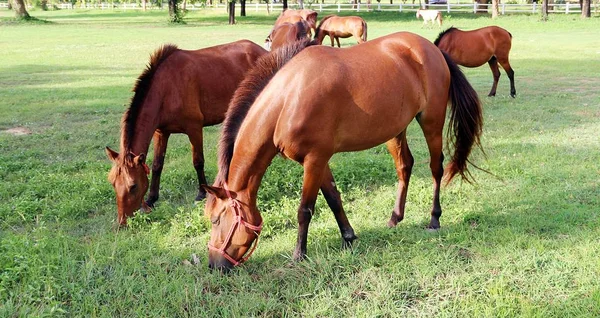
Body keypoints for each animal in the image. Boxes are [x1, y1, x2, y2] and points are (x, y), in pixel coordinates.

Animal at [105, 39, 268, 225]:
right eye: (112, 182)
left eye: (133, 186)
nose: (122, 222)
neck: (166, 88)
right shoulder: (161, 132)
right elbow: (157, 165)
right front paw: (152, 198)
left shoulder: (194, 128)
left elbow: (198, 161)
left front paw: (201, 193)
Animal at [202, 32, 482, 270]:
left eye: (216, 220)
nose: (214, 265)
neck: (288, 98)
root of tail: (432, 48)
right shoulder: (320, 160)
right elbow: (334, 198)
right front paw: (348, 236)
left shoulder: (314, 160)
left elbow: (305, 209)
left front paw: (299, 254)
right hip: (395, 129)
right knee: (405, 166)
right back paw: (395, 218)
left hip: (431, 122)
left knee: (436, 168)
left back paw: (434, 219)